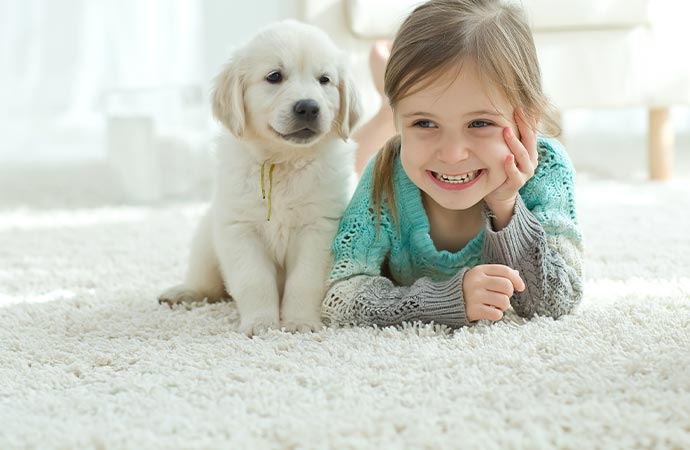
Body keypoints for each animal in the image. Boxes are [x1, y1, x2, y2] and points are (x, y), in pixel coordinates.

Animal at [157, 19, 360, 336]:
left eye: (324, 80)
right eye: (274, 76)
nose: (308, 107)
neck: (282, 161)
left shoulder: (319, 228)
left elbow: (304, 281)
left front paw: (299, 321)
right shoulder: (239, 229)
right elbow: (254, 281)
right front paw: (261, 323)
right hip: (205, 243)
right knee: (208, 286)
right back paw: (182, 292)